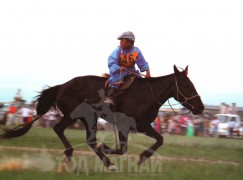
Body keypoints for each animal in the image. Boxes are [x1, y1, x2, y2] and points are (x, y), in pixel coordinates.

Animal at [0, 65, 204, 169]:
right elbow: (122, 148)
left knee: (66, 131)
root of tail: (62, 86)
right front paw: (108, 148)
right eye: (186, 85)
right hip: (85, 117)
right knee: (78, 136)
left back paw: (73, 156)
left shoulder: (143, 125)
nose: (201, 107)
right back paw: (105, 161)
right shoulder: (125, 125)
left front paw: (142, 158)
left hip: (79, 117)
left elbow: (159, 140)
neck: (146, 94)